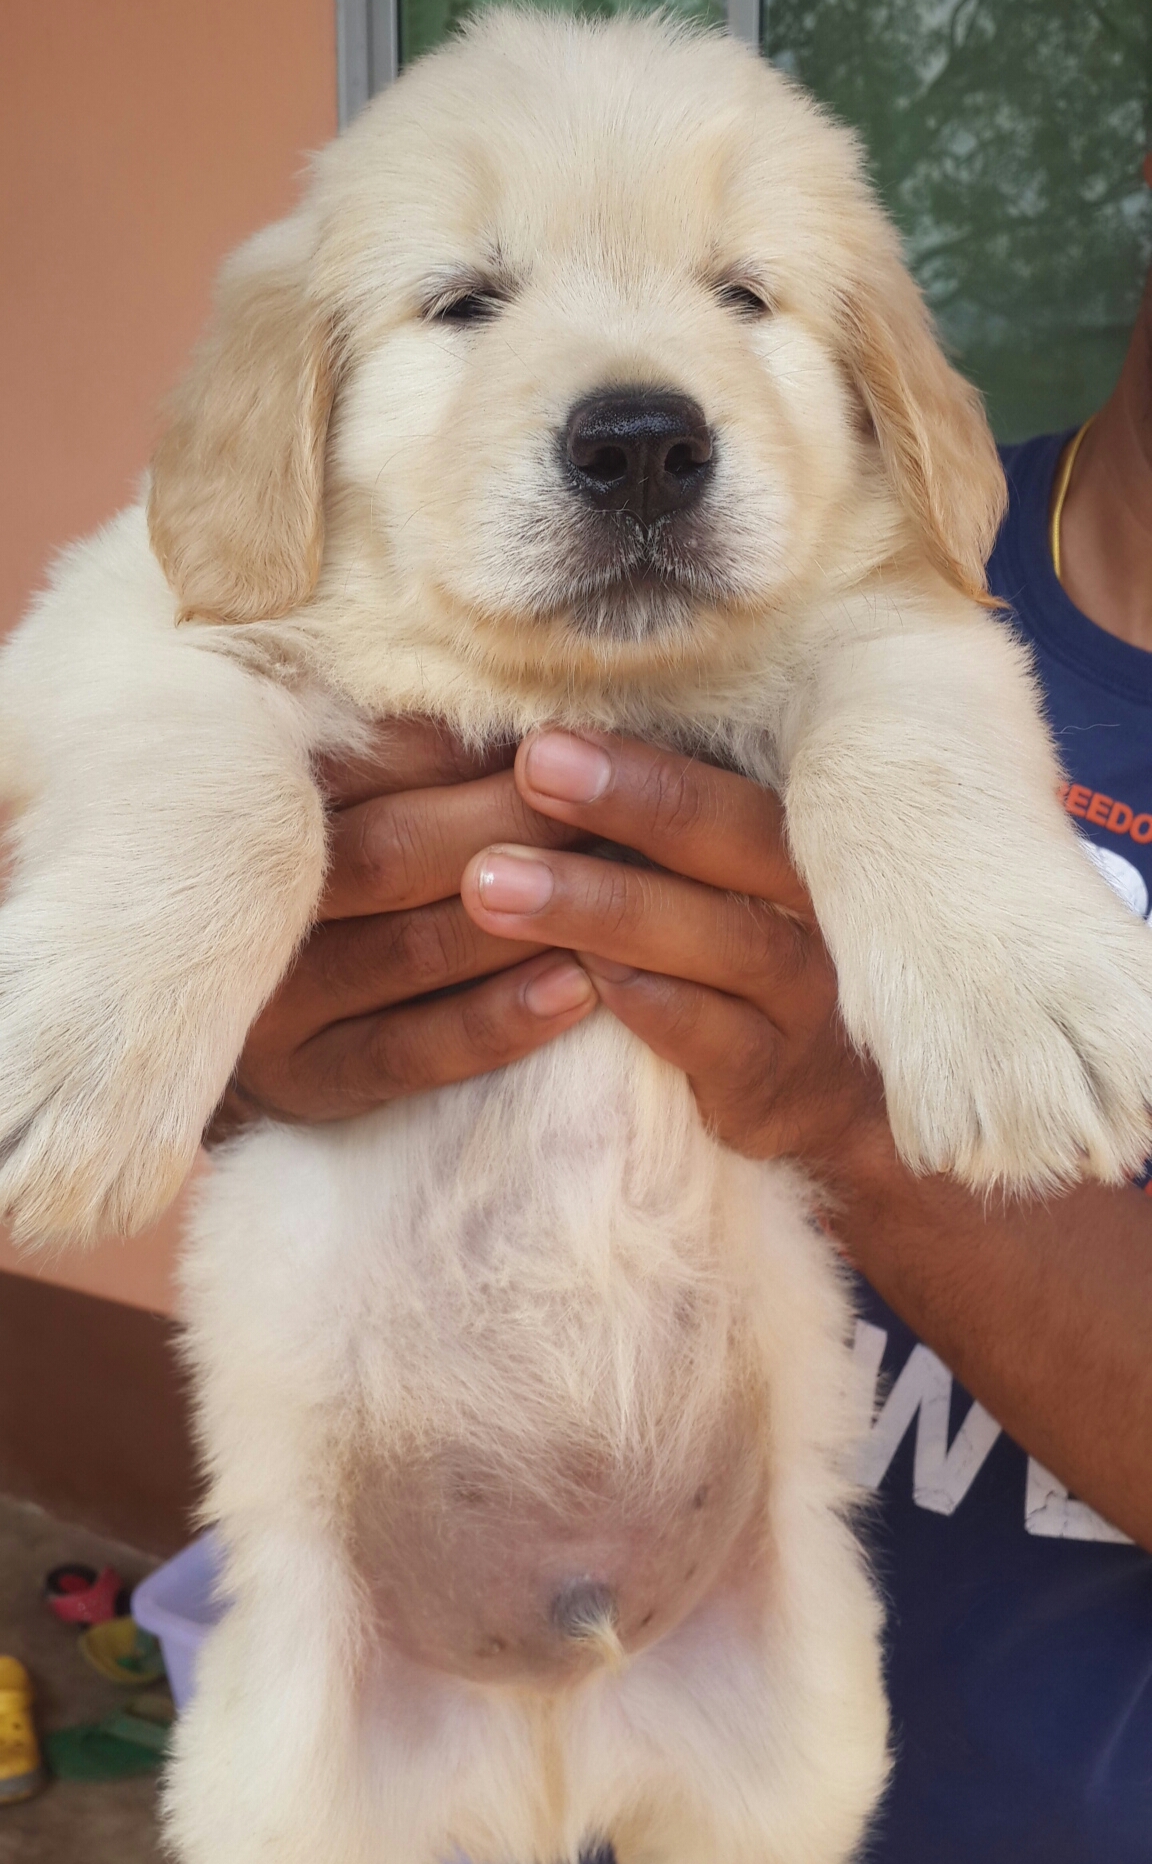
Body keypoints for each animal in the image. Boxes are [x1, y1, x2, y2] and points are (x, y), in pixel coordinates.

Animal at [3, 12, 1152, 1861]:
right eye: (468, 299)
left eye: (744, 294)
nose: (642, 442)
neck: (570, 688)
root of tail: (555, 1714)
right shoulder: (126, 613)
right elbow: (219, 787)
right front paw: (74, 1066)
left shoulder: (909, 615)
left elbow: (909, 743)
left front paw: (1026, 1010)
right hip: (286, 1794)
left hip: (788, 1760)